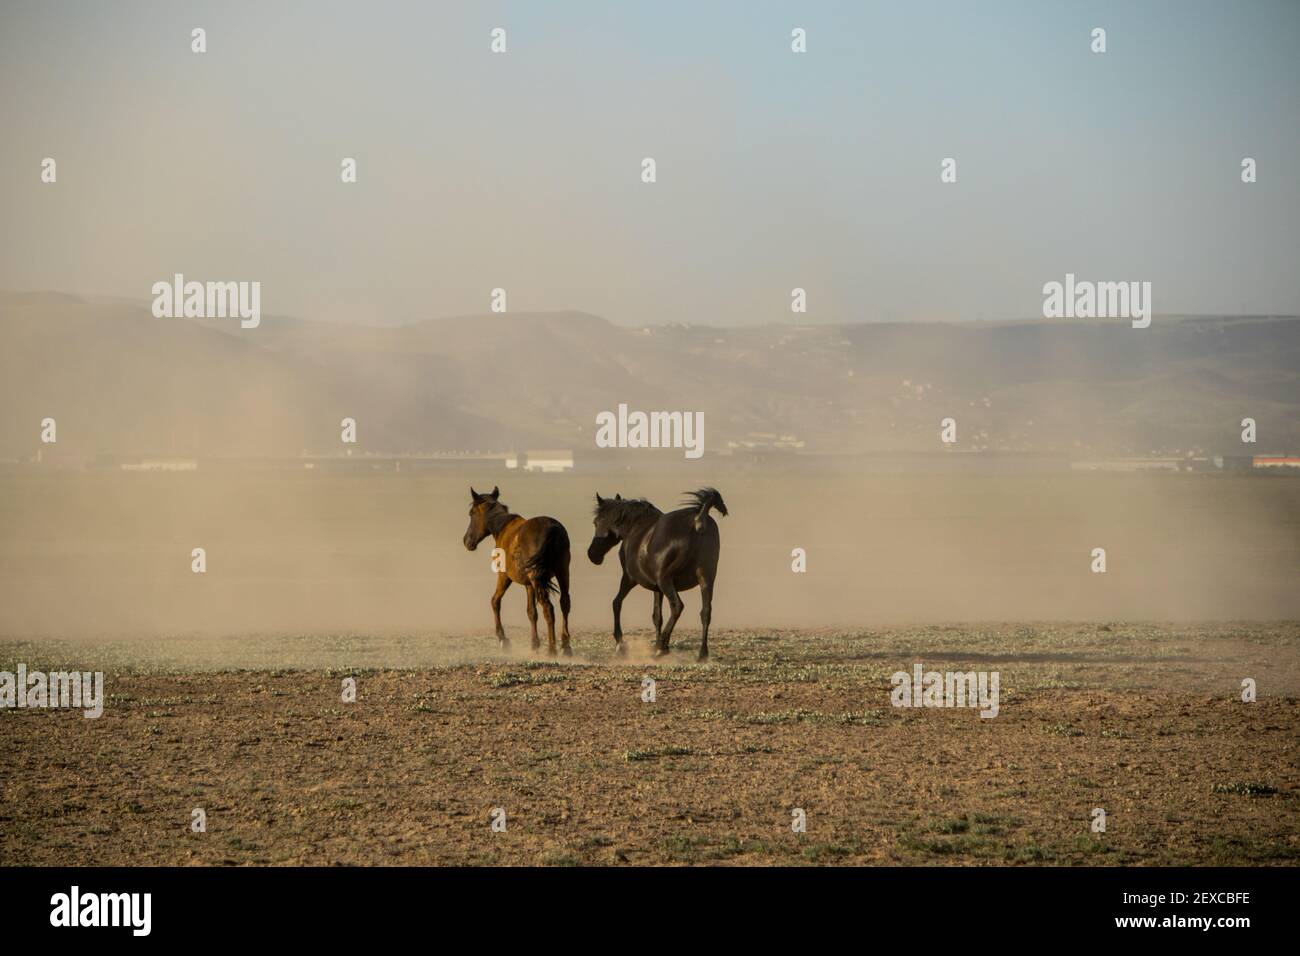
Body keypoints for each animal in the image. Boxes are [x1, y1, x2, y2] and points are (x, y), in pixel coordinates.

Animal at [465, 486, 572, 658]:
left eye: (471, 513)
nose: (467, 541)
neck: (503, 527)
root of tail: (553, 529)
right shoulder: (529, 585)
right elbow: (531, 612)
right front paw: (534, 644)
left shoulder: (504, 576)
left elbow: (495, 601)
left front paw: (503, 640)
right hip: (562, 572)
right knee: (565, 603)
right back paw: (566, 647)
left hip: (538, 579)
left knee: (548, 608)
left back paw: (552, 649)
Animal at [592, 486, 733, 658]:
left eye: (596, 522)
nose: (592, 555)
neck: (634, 526)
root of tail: (698, 519)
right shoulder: (656, 588)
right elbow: (657, 616)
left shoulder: (630, 578)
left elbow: (616, 603)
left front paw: (620, 643)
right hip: (705, 578)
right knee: (706, 612)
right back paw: (701, 654)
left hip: (665, 580)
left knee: (677, 606)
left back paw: (660, 647)